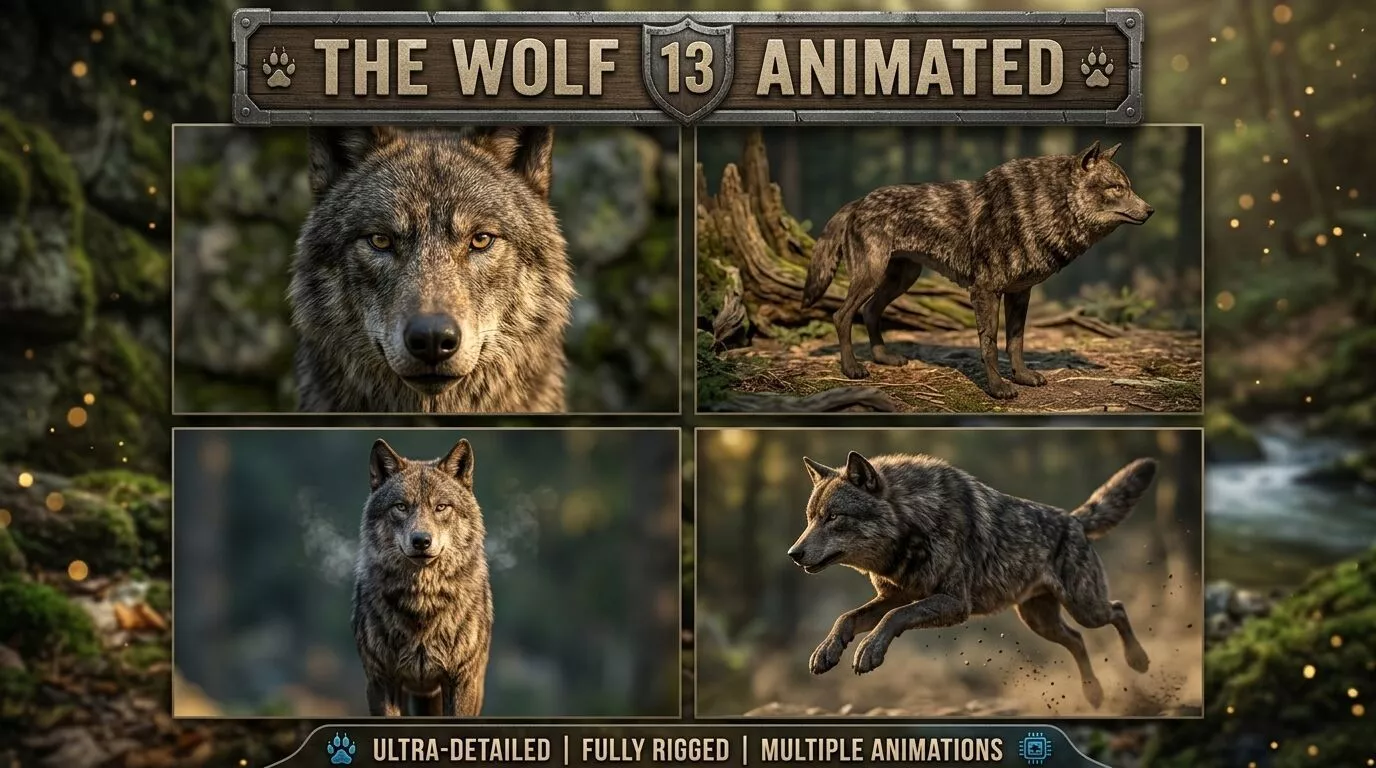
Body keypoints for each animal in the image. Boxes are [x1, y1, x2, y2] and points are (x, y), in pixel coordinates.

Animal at [352, 438, 493, 716]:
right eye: (401, 507)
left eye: (440, 507)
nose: (421, 541)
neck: (422, 603)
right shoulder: (381, 681)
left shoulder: (462, 681)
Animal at [787, 451, 1157, 708]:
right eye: (810, 518)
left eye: (833, 517)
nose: (793, 553)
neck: (914, 523)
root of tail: (1075, 520)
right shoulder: (895, 595)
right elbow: (846, 618)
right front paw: (826, 652)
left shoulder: (953, 603)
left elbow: (893, 618)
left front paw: (869, 651)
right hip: (1040, 621)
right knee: (1078, 640)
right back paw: (1094, 694)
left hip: (1085, 608)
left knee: (1118, 609)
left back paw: (1138, 661)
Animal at [801, 141, 1154, 398]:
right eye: (1117, 188)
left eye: (1128, 186)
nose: (1151, 210)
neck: (1043, 207)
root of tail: (858, 201)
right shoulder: (985, 291)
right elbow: (991, 346)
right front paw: (998, 388)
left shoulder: (1019, 294)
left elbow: (1016, 343)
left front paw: (1022, 377)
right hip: (871, 277)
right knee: (842, 315)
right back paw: (852, 369)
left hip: (901, 279)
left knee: (870, 311)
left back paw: (884, 358)